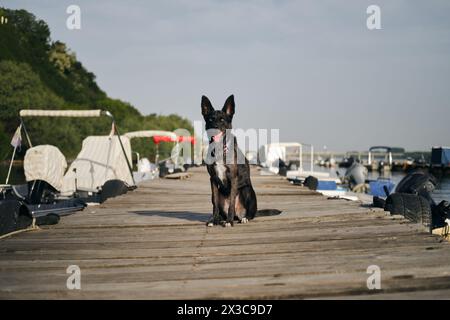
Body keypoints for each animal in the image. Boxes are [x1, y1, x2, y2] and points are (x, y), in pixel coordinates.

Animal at [201, 94, 282, 226]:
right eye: (211, 119)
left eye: (222, 119)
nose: (215, 127)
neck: (219, 149)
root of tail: (238, 215)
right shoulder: (212, 179)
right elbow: (214, 202)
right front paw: (214, 220)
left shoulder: (233, 178)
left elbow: (232, 203)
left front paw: (229, 222)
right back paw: (220, 218)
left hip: (247, 190)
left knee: (248, 213)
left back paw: (242, 218)